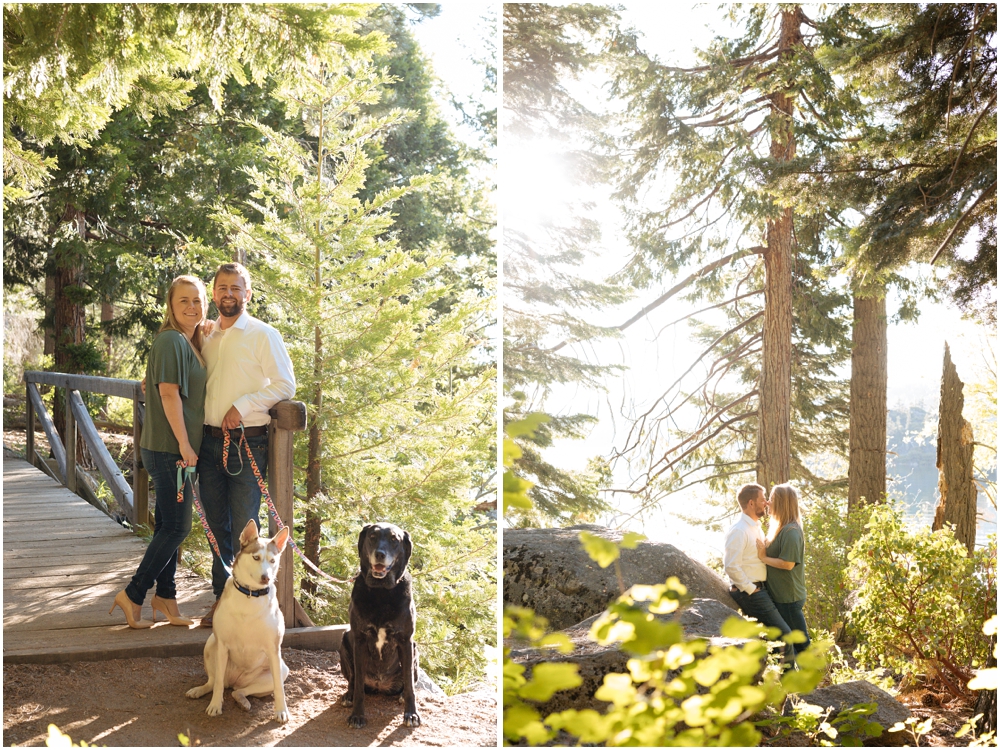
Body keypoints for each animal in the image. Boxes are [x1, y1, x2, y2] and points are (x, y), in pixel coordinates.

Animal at [187, 524, 290, 724]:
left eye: (273, 560)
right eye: (256, 557)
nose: (266, 577)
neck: (250, 594)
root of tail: (235, 681)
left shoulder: (274, 650)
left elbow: (279, 689)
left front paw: (281, 711)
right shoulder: (222, 646)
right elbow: (218, 684)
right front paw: (215, 705)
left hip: (281, 669)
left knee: (240, 691)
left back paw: (242, 700)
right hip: (211, 645)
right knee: (214, 682)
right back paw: (200, 690)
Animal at [340, 524, 418, 728]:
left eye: (394, 539)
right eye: (372, 537)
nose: (380, 554)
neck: (381, 592)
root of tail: (380, 685)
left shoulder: (406, 641)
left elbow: (410, 687)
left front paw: (411, 714)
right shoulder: (359, 640)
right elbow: (359, 686)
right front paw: (357, 715)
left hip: (415, 649)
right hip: (344, 641)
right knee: (353, 680)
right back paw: (348, 696)